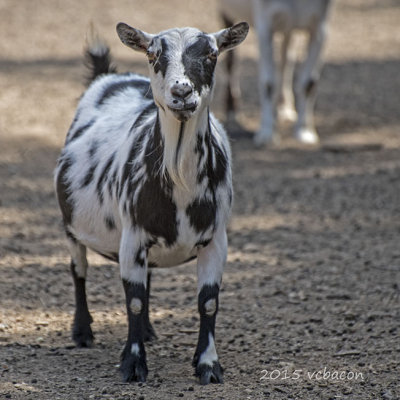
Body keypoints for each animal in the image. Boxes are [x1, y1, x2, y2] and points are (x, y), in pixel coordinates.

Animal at [53, 21, 247, 384]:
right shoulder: (132, 236)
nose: (182, 91)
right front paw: (132, 365)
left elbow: (208, 303)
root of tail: (107, 76)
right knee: (78, 270)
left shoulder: (216, 240)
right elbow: (134, 301)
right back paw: (83, 332)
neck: (181, 180)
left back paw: (145, 332)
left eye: (212, 54)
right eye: (154, 55)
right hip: (71, 227)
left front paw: (208, 365)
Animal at [217, 0, 332, 145]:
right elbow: (269, 83)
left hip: (289, 28)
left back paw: (284, 108)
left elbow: (308, 83)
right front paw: (267, 133)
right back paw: (232, 111)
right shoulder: (265, 26)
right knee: (231, 61)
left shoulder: (319, 27)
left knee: (286, 58)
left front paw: (304, 131)